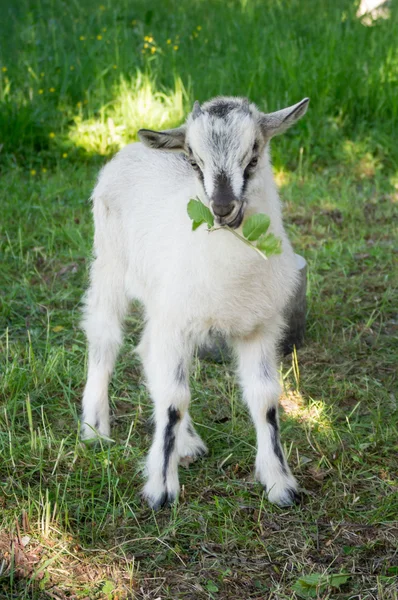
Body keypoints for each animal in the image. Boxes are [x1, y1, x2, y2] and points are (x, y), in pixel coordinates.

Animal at [81, 96, 310, 508]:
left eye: (254, 154)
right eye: (193, 160)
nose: (221, 207)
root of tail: (132, 147)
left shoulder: (260, 327)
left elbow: (266, 399)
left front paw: (280, 484)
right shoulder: (175, 322)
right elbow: (174, 400)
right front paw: (161, 490)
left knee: (147, 352)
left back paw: (187, 444)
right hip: (109, 260)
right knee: (104, 337)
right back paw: (94, 428)